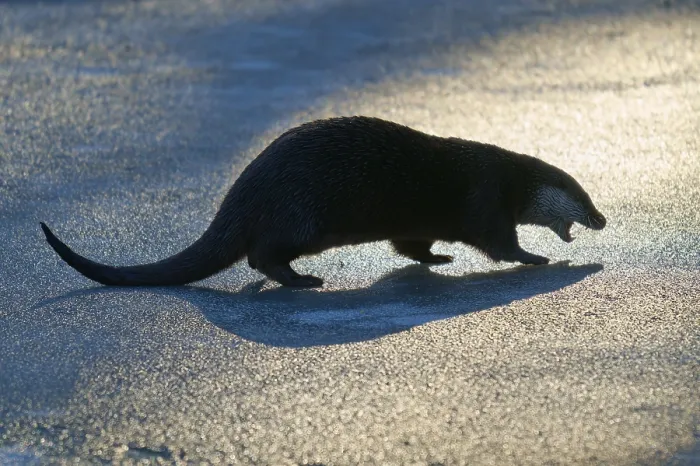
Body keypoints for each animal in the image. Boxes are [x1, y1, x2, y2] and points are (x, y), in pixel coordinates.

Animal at [40, 116, 606, 288]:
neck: (513, 180)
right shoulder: (488, 199)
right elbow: (499, 244)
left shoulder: (417, 223)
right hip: (299, 218)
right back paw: (304, 281)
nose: (602, 219)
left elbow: (412, 245)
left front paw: (439, 258)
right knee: (260, 254)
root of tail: (243, 188)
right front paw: (537, 257)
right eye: (584, 196)